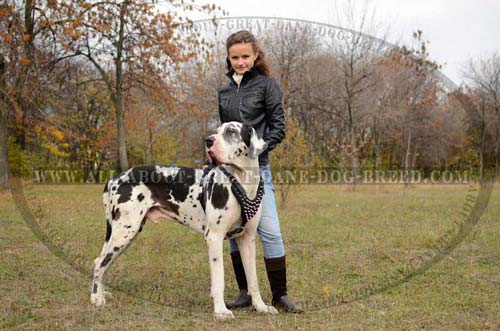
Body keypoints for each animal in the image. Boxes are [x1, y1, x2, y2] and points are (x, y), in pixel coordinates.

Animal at [92, 122, 280, 320]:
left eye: (231, 131)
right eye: (217, 131)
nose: (208, 140)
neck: (242, 181)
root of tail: (113, 178)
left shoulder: (247, 239)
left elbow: (253, 279)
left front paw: (260, 306)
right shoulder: (214, 237)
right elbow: (219, 279)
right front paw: (221, 311)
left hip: (122, 233)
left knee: (103, 263)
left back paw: (101, 294)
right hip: (125, 231)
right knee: (99, 263)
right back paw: (96, 299)